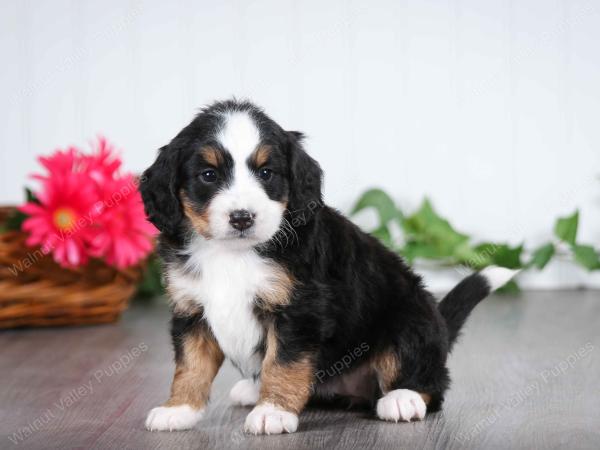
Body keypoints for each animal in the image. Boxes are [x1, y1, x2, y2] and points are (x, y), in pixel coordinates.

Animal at [141, 100, 516, 434]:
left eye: (266, 173)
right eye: (208, 175)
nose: (242, 217)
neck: (233, 253)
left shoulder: (299, 310)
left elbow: (284, 362)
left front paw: (273, 412)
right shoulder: (191, 310)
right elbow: (190, 365)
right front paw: (179, 409)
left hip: (409, 321)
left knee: (431, 383)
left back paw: (402, 398)